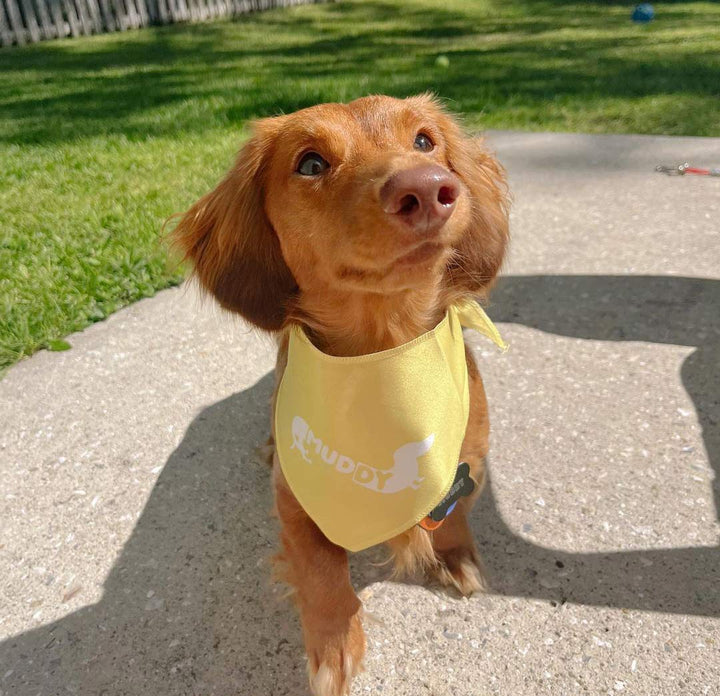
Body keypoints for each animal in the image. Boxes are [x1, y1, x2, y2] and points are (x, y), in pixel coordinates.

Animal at [170, 94, 506, 696]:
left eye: (425, 141)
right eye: (310, 163)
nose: (427, 189)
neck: (385, 358)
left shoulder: (470, 459)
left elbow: (454, 512)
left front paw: (454, 556)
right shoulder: (294, 497)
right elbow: (321, 569)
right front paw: (333, 646)